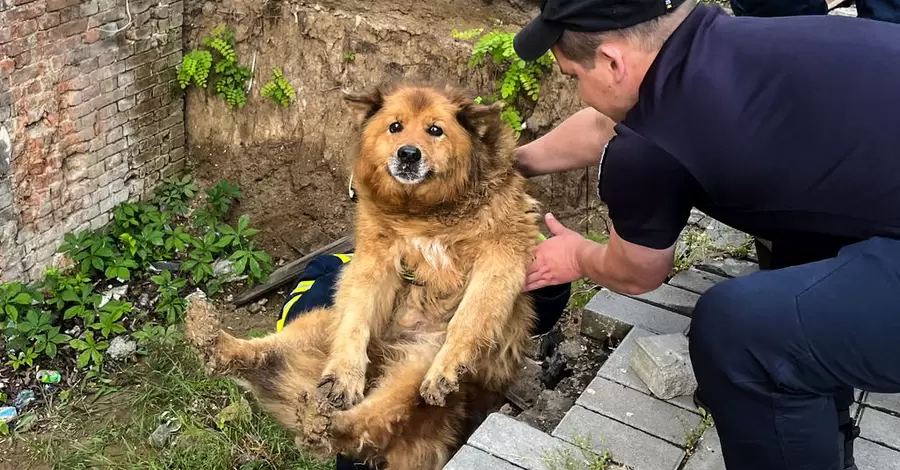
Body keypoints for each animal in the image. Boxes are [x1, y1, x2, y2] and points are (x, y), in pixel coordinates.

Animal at [185, 82, 540, 468]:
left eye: (435, 130)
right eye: (395, 126)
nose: (408, 154)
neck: (426, 212)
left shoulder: (501, 256)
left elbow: (470, 316)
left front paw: (448, 366)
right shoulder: (374, 257)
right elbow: (358, 313)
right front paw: (346, 376)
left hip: (412, 365)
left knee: (369, 423)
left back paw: (325, 425)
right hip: (320, 324)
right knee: (268, 356)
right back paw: (210, 338)